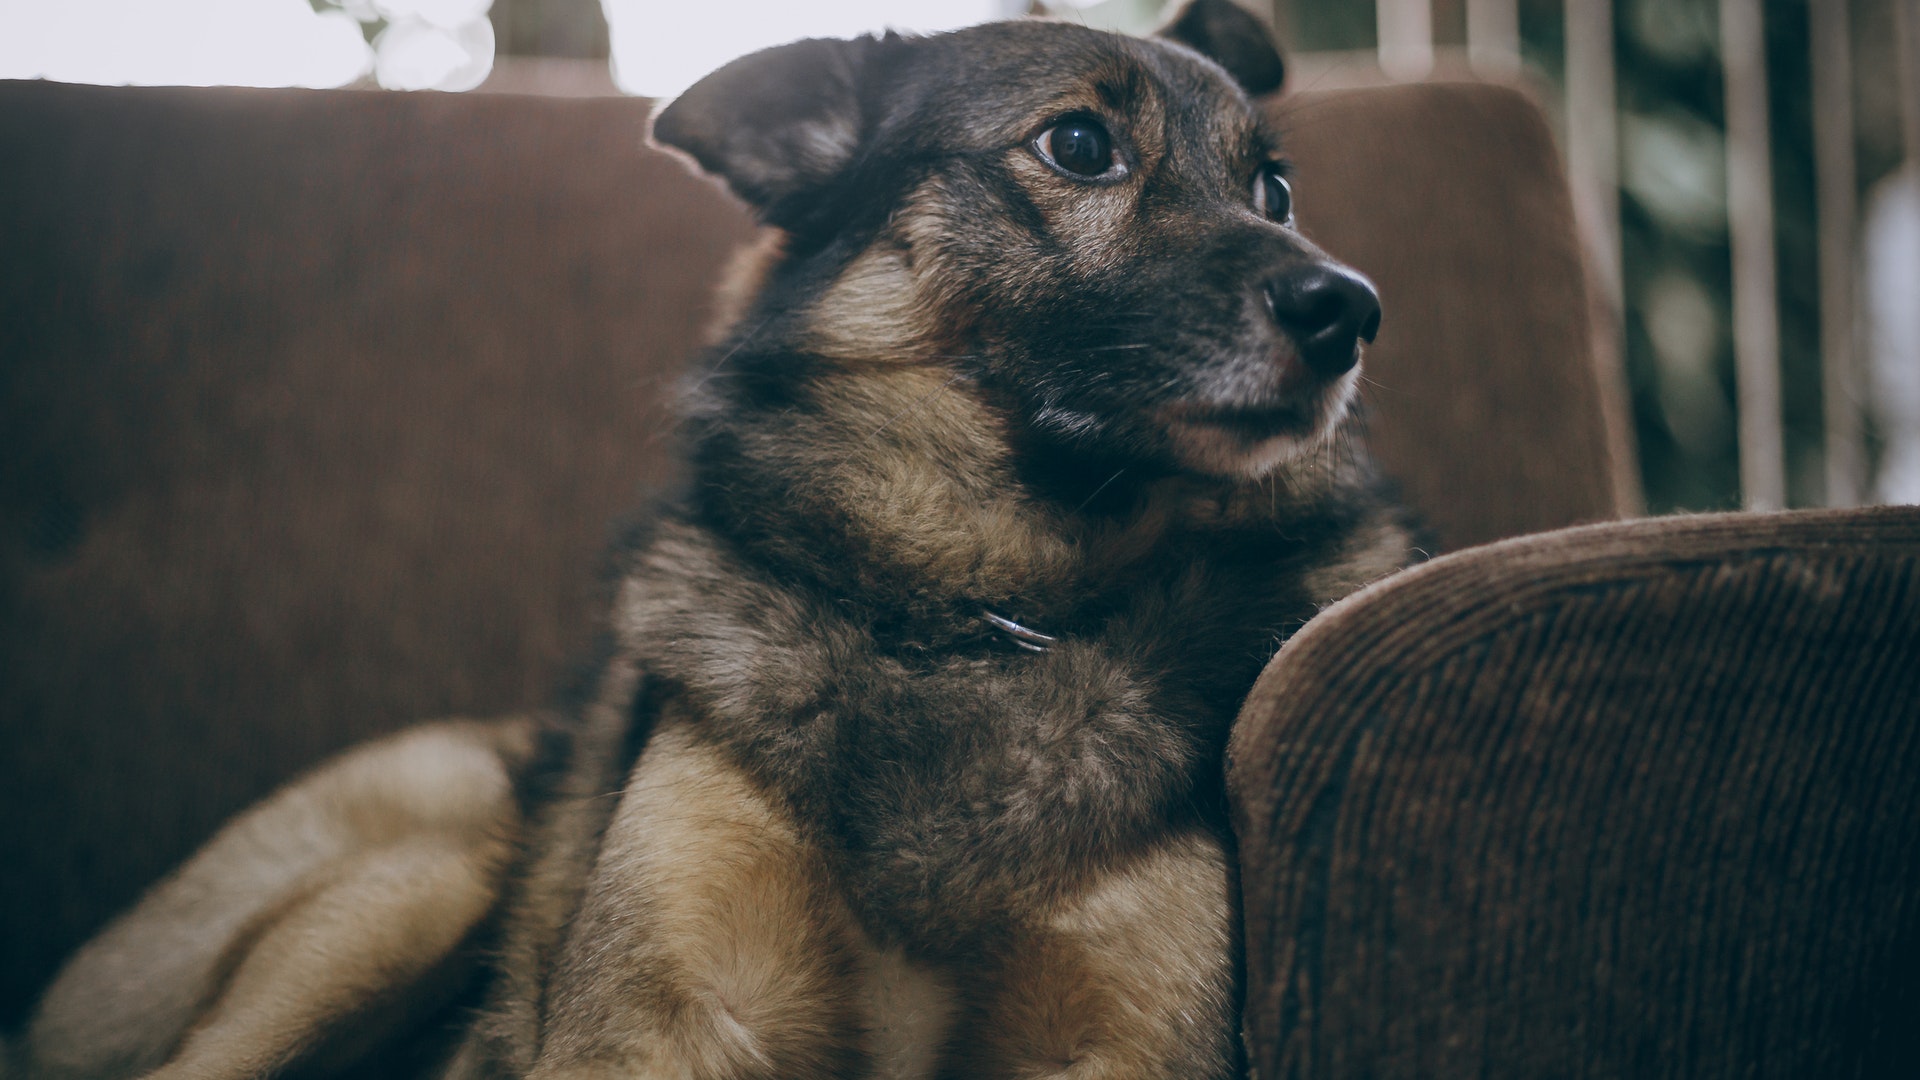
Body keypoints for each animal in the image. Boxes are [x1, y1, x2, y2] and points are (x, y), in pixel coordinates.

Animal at [22, 4, 1420, 1068]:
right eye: (1079, 145)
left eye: (1274, 186)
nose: (1350, 309)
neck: (982, 610)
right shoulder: (648, 1022)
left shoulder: (1128, 1039)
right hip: (416, 881)